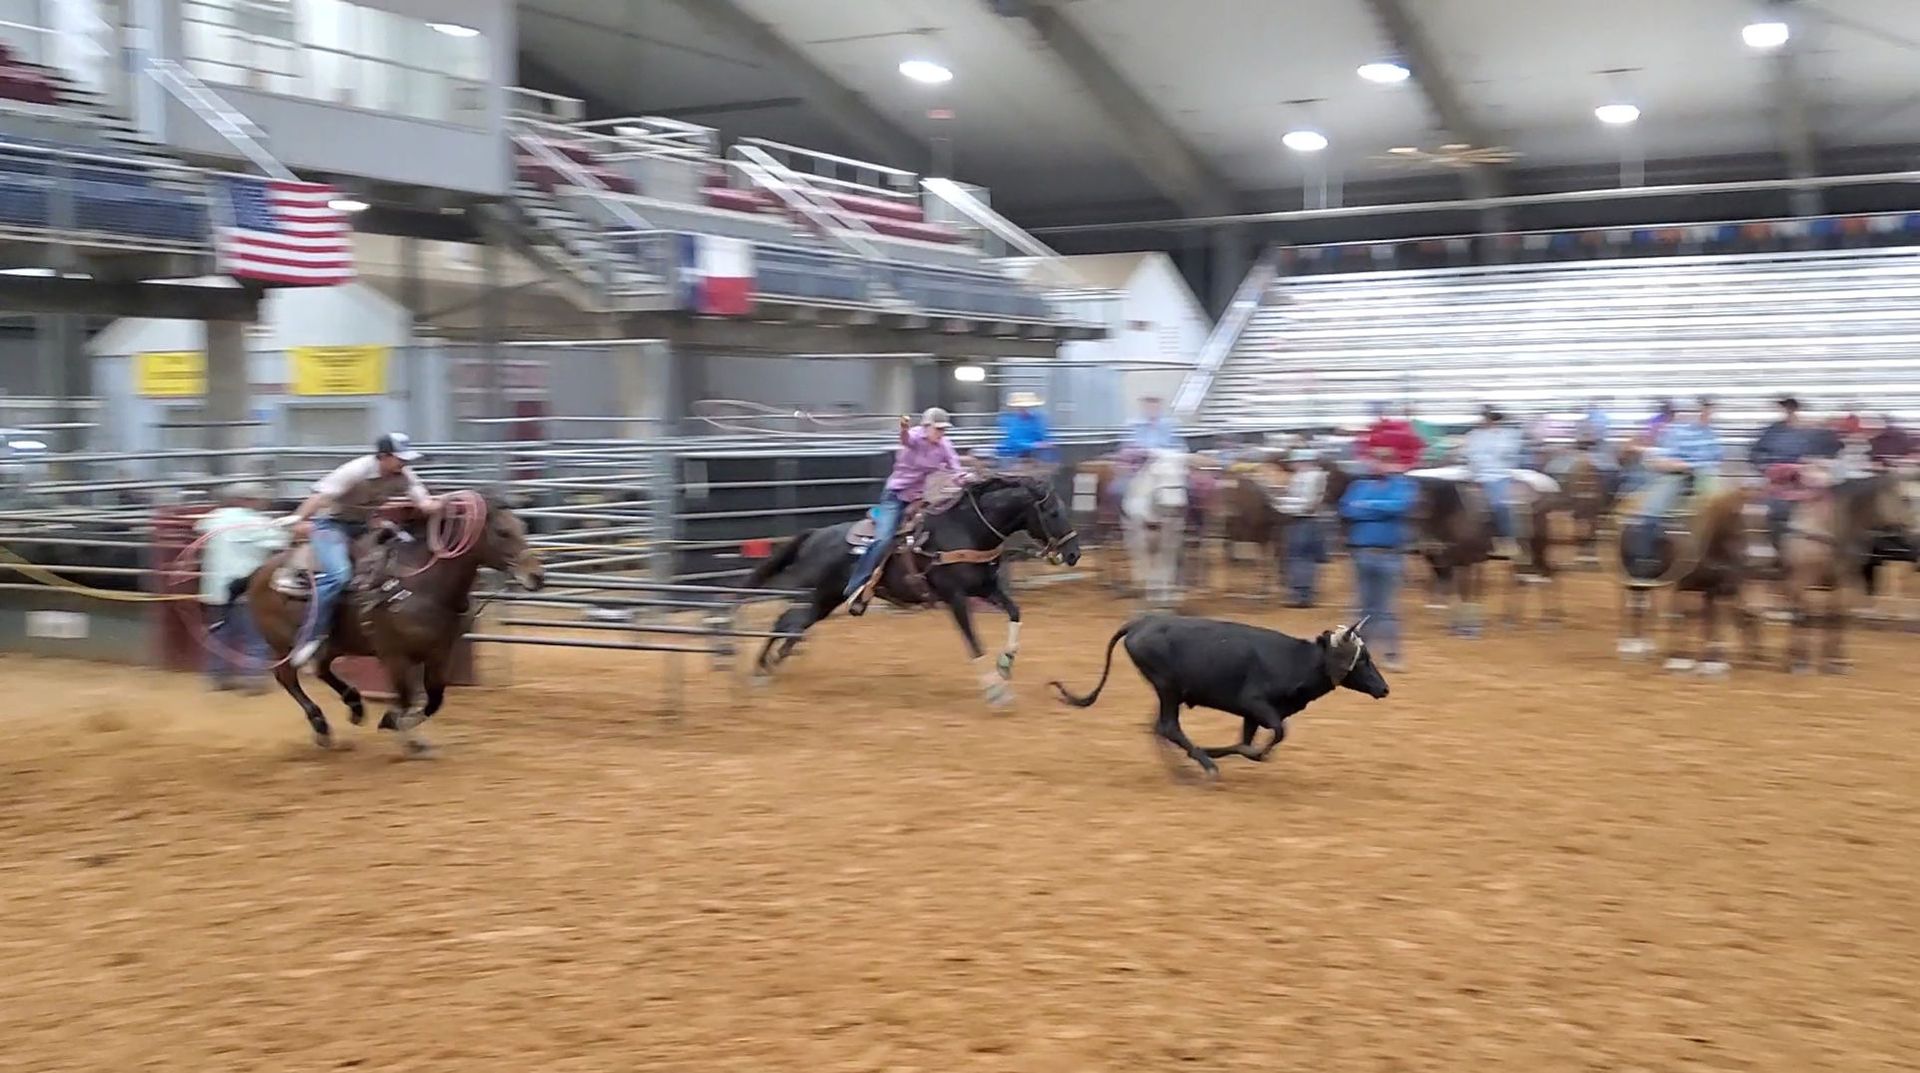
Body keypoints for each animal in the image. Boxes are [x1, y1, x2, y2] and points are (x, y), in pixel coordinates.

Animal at [1049, 615, 1391, 780]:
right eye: (1362, 660)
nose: (1384, 688)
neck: (1298, 661)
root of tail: (1140, 623)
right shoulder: (1256, 705)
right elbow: (1271, 737)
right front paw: (1215, 753)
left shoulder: (1252, 715)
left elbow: (1248, 743)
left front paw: (1223, 751)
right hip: (1168, 687)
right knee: (1168, 727)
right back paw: (1204, 764)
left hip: (1168, 691)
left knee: (1158, 727)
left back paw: (1185, 765)